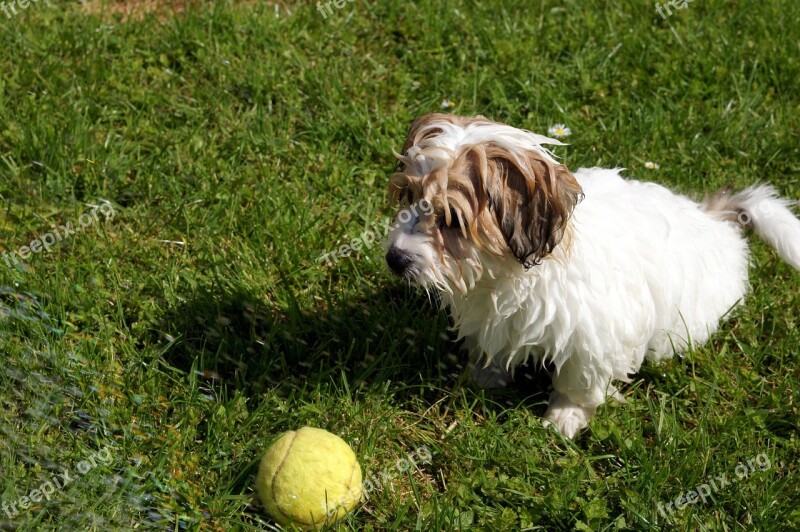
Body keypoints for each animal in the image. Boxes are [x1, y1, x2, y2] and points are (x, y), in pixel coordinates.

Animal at [382, 112, 800, 436]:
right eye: (409, 196)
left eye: (453, 219)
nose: (395, 258)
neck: (508, 273)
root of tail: (715, 220)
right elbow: (493, 344)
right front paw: (483, 378)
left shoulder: (596, 336)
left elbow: (579, 381)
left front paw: (565, 416)